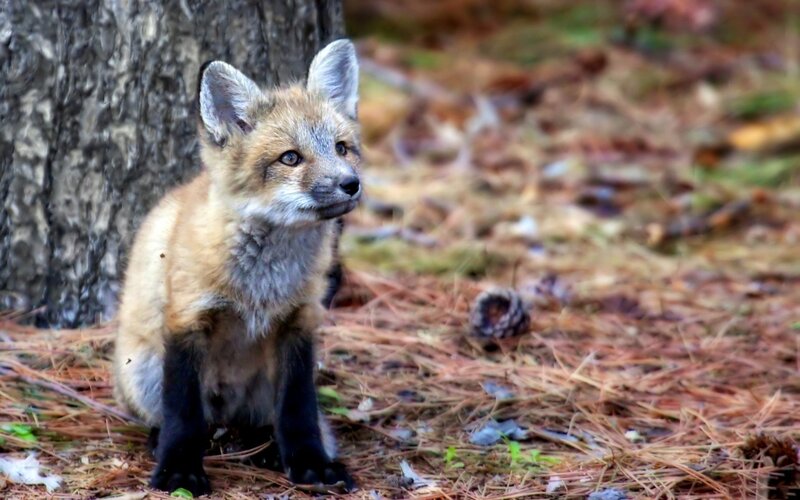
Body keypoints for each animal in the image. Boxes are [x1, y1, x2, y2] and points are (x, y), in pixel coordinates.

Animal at [113, 39, 361, 495]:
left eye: (340, 148)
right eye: (290, 158)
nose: (351, 184)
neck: (261, 286)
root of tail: (227, 415)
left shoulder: (298, 322)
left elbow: (298, 411)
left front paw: (312, 464)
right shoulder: (186, 320)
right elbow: (184, 415)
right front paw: (178, 471)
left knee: (266, 421)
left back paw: (268, 448)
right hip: (143, 369)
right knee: (183, 418)